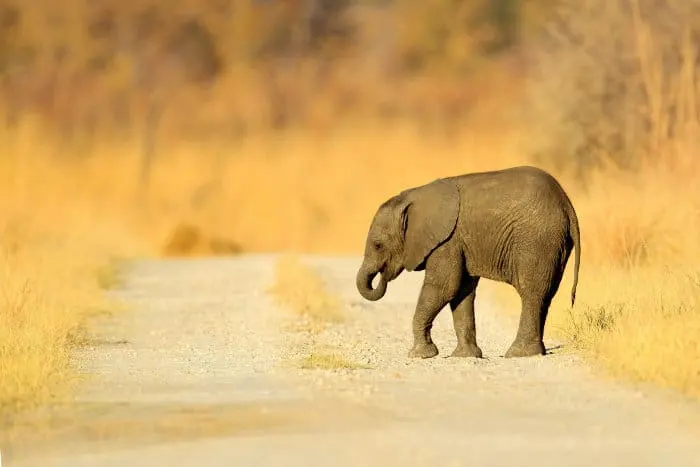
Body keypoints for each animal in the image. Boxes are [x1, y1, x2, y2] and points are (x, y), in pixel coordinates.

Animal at [355, 165, 581, 359]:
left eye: (378, 245)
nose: (383, 275)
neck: (412, 197)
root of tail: (567, 204)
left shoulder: (447, 241)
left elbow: (444, 287)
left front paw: (420, 355)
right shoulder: (458, 241)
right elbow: (461, 292)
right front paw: (465, 356)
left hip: (537, 240)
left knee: (531, 292)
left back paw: (518, 354)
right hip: (554, 243)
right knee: (545, 294)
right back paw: (534, 352)